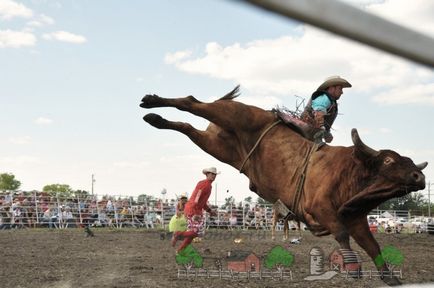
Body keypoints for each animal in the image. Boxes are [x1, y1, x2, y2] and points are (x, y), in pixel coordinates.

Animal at [140, 85, 428, 284]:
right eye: (389, 160)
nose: (420, 177)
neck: (351, 171)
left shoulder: (356, 218)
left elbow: (372, 245)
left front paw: (390, 277)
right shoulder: (321, 209)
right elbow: (342, 234)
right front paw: (353, 268)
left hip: (217, 145)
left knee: (188, 126)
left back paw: (156, 119)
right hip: (233, 115)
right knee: (192, 102)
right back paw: (151, 102)